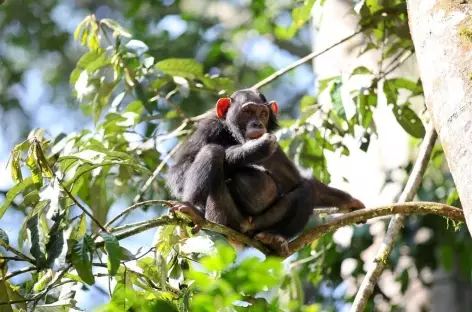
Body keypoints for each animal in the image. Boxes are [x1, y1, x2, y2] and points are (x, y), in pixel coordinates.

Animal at [166, 88, 366, 254]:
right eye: (247, 112)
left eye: (263, 114)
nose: (257, 124)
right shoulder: (208, 127)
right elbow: (180, 171)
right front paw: (252, 149)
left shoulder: (277, 151)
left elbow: (297, 181)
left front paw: (351, 203)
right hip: (221, 217)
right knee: (211, 151)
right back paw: (192, 209)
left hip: (261, 225)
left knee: (307, 190)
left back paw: (275, 238)